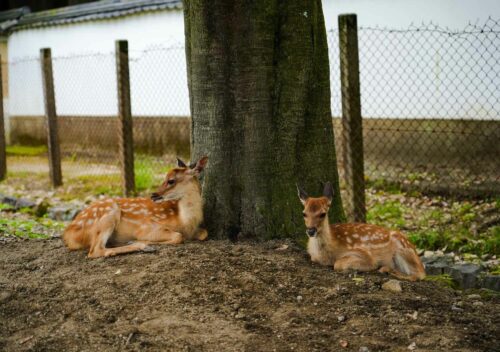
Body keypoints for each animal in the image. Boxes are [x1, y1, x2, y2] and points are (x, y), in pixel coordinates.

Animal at [63, 157, 209, 258]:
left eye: (171, 180)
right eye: (165, 178)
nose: (154, 195)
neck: (185, 221)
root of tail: (68, 234)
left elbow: (204, 233)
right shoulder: (146, 227)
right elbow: (178, 236)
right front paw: (142, 241)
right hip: (108, 214)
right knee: (94, 251)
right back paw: (139, 245)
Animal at [296, 183, 426, 282]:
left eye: (322, 214)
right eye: (304, 213)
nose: (311, 230)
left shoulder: (363, 253)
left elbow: (338, 264)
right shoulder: (313, 257)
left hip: (402, 249)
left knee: (419, 274)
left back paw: (387, 270)